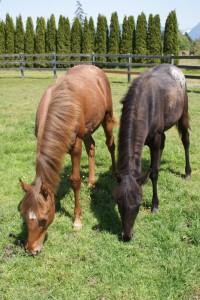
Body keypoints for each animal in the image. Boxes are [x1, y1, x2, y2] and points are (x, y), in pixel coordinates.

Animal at [19, 64, 115, 254]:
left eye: (43, 219)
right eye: (25, 216)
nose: (31, 249)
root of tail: (95, 69)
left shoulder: (75, 146)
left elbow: (75, 181)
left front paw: (77, 221)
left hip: (106, 117)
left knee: (111, 144)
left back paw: (116, 176)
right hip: (88, 129)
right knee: (91, 146)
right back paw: (91, 181)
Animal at [114, 64, 191, 243]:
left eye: (139, 204)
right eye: (119, 203)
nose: (127, 236)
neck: (144, 103)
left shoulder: (155, 138)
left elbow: (155, 172)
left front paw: (155, 205)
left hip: (183, 114)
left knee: (185, 141)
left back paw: (187, 172)